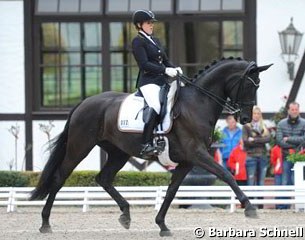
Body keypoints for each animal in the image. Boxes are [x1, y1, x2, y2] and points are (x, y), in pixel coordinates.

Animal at [29, 57, 270, 236]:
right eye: (249, 85)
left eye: (258, 85)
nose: (246, 118)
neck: (197, 104)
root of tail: (84, 102)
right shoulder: (197, 154)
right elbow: (226, 174)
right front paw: (249, 207)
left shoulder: (187, 161)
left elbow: (172, 191)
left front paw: (162, 225)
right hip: (79, 147)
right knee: (60, 177)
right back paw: (45, 223)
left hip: (118, 152)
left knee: (103, 178)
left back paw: (126, 214)